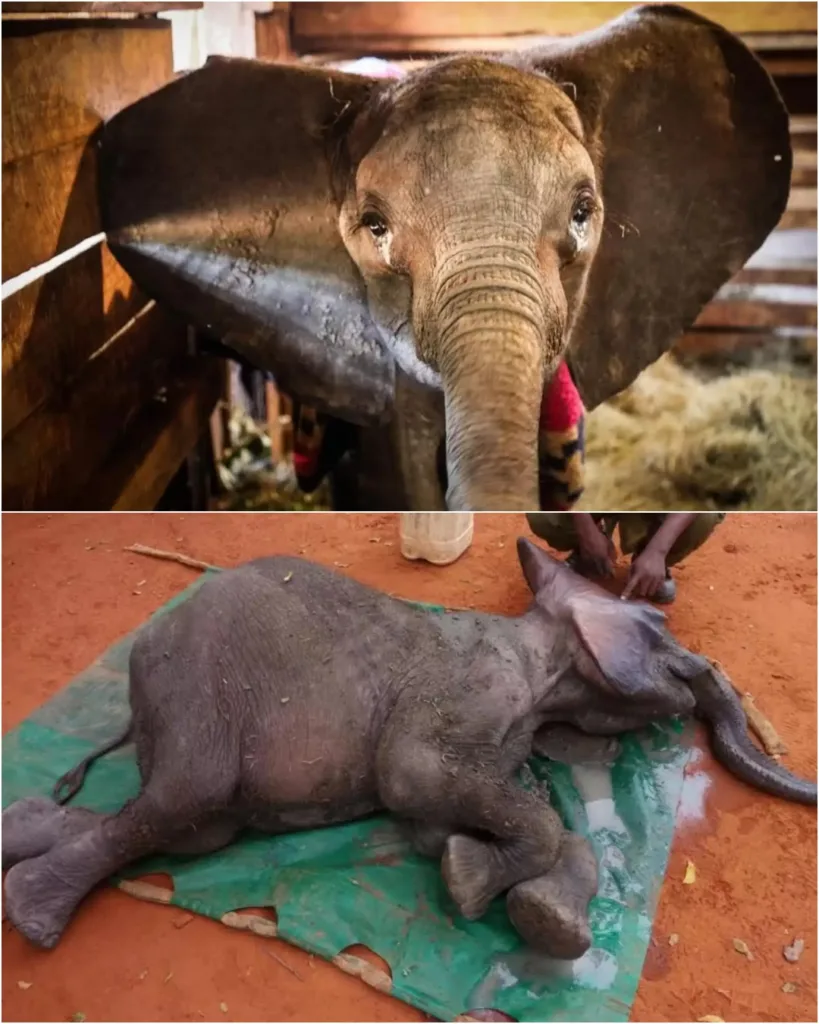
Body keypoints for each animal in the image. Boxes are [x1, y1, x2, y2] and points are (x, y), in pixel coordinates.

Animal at [3, 538, 815, 956]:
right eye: (660, 628)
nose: (699, 673)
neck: (540, 658)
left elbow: (448, 821)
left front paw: (500, 889)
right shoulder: (470, 689)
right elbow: (413, 778)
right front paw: (472, 885)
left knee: (172, 821)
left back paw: (22, 832)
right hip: (198, 686)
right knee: (176, 802)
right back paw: (34, 916)